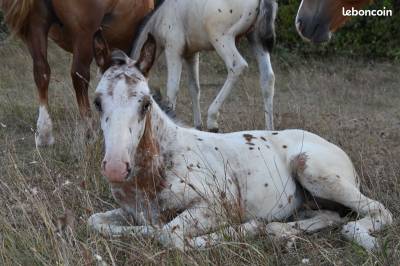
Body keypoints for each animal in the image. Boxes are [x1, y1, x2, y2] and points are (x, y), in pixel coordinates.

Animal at [0, 0, 154, 145]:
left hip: (37, 25)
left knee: (41, 71)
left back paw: (44, 134)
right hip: (84, 34)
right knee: (79, 75)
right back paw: (89, 131)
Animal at [89, 34, 392, 251]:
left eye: (146, 103)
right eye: (97, 102)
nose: (115, 168)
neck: (159, 164)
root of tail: (339, 151)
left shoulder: (215, 206)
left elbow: (168, 234)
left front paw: (249, 228)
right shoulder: (130, 212)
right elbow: (96, 222)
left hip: (316, 172)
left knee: (377, 211)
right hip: (312, 201)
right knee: (331, 216)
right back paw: (280, 232)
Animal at [131, 0, 278, 132]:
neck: (161, 16)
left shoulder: (173, 50)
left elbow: (172, 88)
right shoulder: (192, 54)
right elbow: (194, 88)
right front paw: (197, 126)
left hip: (221, 38)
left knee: (237, 66)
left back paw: (212, 120)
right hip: (256, 40)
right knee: (268, 78)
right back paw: (269, 130)